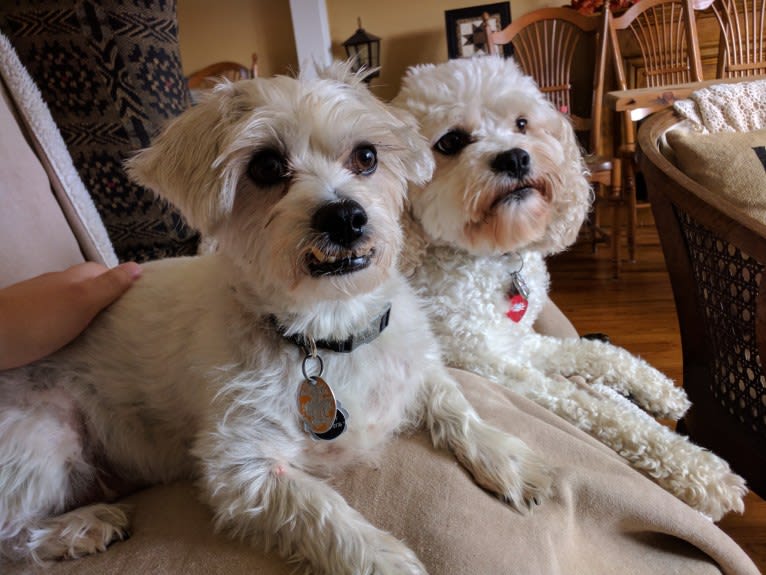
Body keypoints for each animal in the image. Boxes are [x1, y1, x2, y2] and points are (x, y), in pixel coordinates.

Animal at [0, 65, 560, 572]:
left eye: (367, 156)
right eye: (266, 166)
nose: (345, 216)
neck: (328, 330)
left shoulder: (412, 362)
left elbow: (454, 402)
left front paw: (505, 457)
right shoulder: (241, 467)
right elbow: (321, 510)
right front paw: (385, 559)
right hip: (41, 440)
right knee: (12, 534)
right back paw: (79, 527)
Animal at [400, 57, 748, 520]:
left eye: (522, 123)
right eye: (451, 141)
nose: (515, 157)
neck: (486, 259)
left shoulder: (517, 342)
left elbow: (596, 351)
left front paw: (660, 389)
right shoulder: (487, 362)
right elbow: (597, 410)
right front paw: (699, 471)